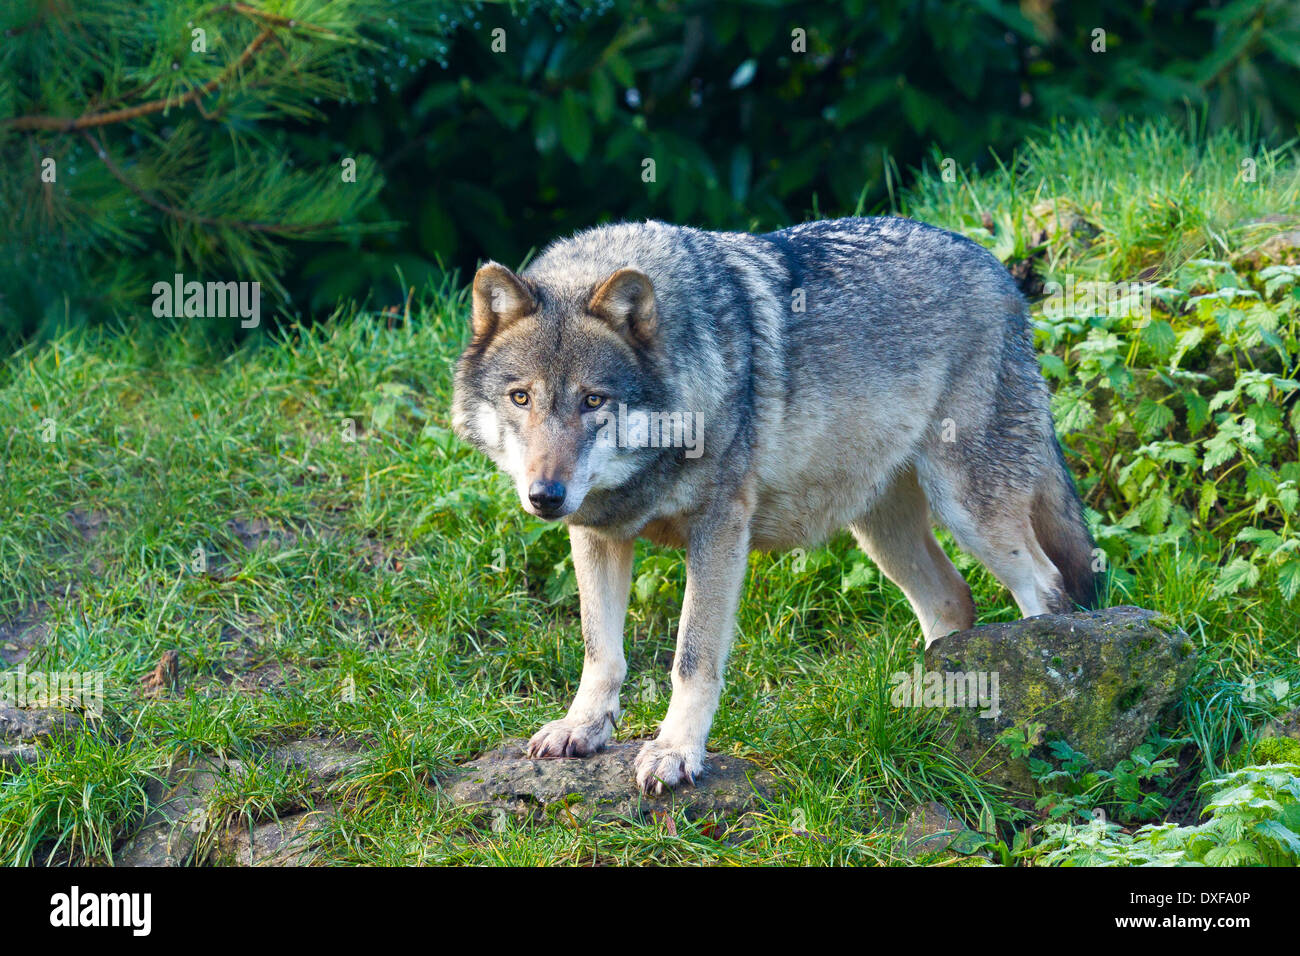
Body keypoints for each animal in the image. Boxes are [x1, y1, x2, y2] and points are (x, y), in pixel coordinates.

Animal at [452, 217, 1100, 794]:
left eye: (593, 400)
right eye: (521, 397)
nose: (545, 495)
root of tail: (999, 271)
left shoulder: (720, 530)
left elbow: (692, 656)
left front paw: (675, 752)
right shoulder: (597, 533)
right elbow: (599, 650)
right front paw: (583, 729)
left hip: (971, 512)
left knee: (1044, 586)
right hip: (883, 533)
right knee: (952, 600)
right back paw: (928, 708)